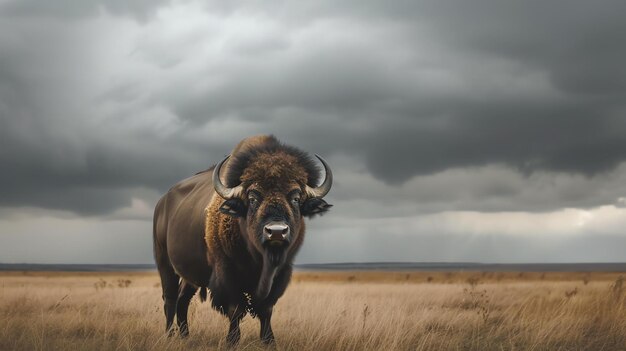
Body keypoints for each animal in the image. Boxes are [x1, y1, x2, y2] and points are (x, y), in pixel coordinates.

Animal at [153, 135, 332, 346]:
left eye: (296, 198)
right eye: (253, 197)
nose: (276, 232)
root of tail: (162, 202)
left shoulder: (281, 272)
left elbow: (266, 310)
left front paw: (269, 341)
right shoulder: (227, 274)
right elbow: (235, 309)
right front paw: (232, 340)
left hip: (191, 275)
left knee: (183, 299)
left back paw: (185, 335)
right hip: (164, 262)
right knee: (170, 298)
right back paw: (169, 335)